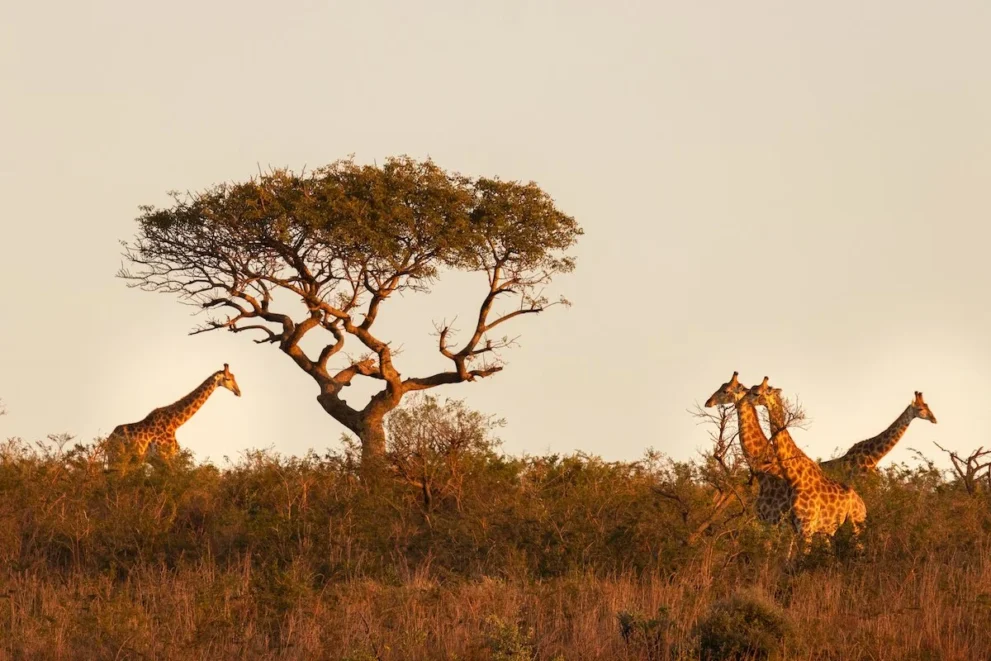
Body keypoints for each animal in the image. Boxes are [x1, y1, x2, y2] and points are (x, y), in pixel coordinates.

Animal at [105, 366, 242, 464]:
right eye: (228, 379)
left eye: (234, 377)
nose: (239, 392)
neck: (175, 422)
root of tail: (109, 439)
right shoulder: (163, 456)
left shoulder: (157, 460)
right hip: (118, 458)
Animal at [744, 374, 868, 556]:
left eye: (756, 392)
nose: (744, 400)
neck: (795, 478)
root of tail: (864, 506)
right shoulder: (796, 526)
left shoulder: (806, 527)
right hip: (828, 531)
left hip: (856, 525)